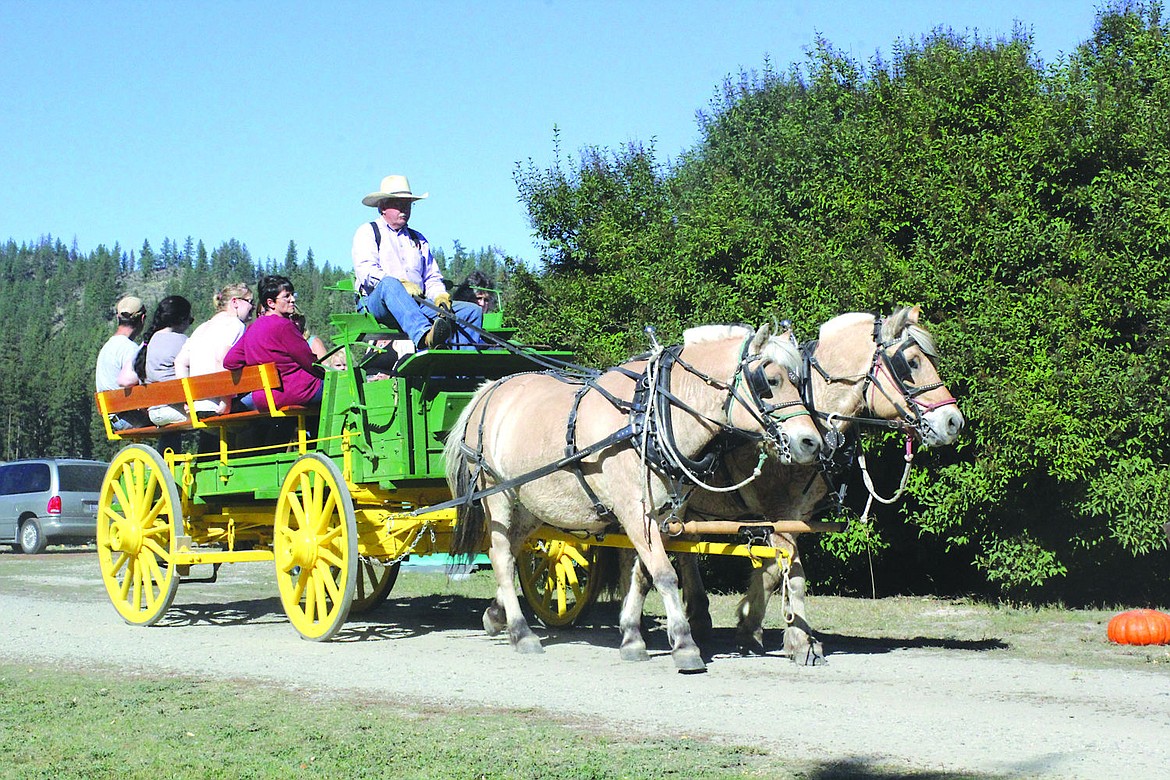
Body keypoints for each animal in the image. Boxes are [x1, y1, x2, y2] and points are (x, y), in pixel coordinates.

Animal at [446, 322, 823, 673]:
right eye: (770, 381)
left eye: (798, 381)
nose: (811, 443)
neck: (650, 417)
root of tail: (489, 389)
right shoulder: (634, 512)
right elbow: (664, 574)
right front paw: (684, 644)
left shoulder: (664, 514)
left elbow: (640, 576)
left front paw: (631, 637)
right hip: (497, 493)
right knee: (501, 556)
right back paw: (522, 632)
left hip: (531, 505)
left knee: (510, 552)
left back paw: (496, 616)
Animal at [636, 304, 964, 664]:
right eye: (912, 363)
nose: (954, 421)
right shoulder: (780, 511)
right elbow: (792, 573)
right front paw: (801, 642)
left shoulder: (795, 516)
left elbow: (772, 571)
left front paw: (750, 628)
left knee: (683, 550)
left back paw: (697, 617)